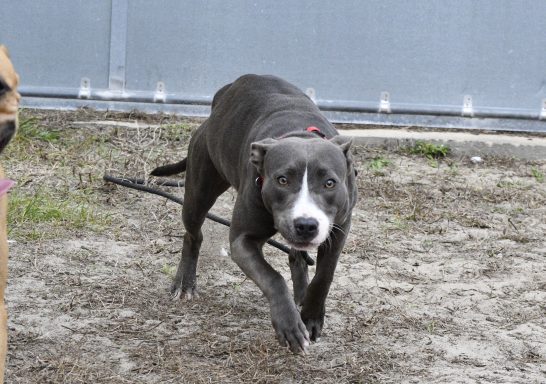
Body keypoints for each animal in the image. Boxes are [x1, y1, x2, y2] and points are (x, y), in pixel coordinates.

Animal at [152, 73, 356, 352]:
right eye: (282, 180)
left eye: (330, 183)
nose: (306, 224)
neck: (300, 133)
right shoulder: (242, 240)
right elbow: (273, 278)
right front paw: (289, 325)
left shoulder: (339, 228)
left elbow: (325, 275)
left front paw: (311, 316)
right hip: (198, 194)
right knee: (193, 235)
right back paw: (185, 284)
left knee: (297, 257)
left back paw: (301, 293)